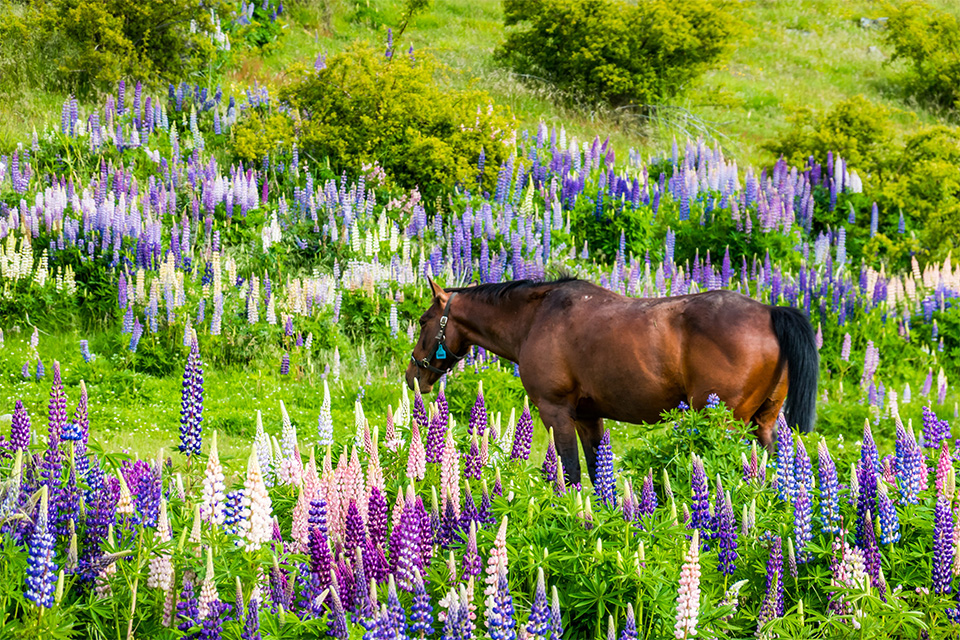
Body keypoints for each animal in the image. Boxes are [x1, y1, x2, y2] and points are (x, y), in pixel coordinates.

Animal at [404, 278, 816, 482]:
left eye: (424, 321)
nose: (412, 376)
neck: (537, 317)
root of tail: (770, 312)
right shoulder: (589, 417)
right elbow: (596, 471)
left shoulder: (555, 412)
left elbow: (569, 471)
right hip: (763, 424)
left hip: (726, 424)